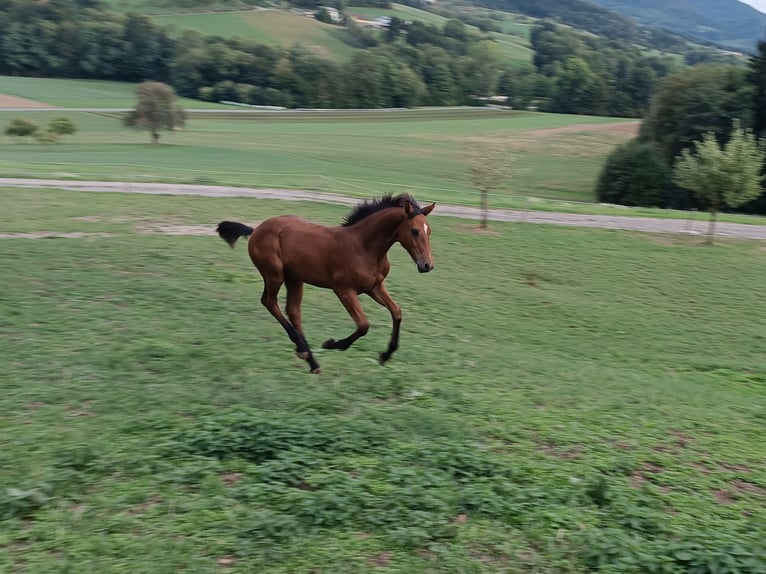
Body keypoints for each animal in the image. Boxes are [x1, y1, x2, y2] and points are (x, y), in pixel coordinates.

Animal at [216, 193, 436, 373]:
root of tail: (256, 229)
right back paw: (304, 351)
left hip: (294, 278)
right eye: (415, 231)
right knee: (269, 302)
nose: (427, 265)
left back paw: (310, 360)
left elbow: (397, 312)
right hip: (274, 275)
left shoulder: (374, 287)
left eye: (429, 231)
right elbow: (363, 325)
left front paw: (385, 355)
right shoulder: (344, 290)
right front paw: (331, 344)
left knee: (293, 311)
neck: (364, 246)